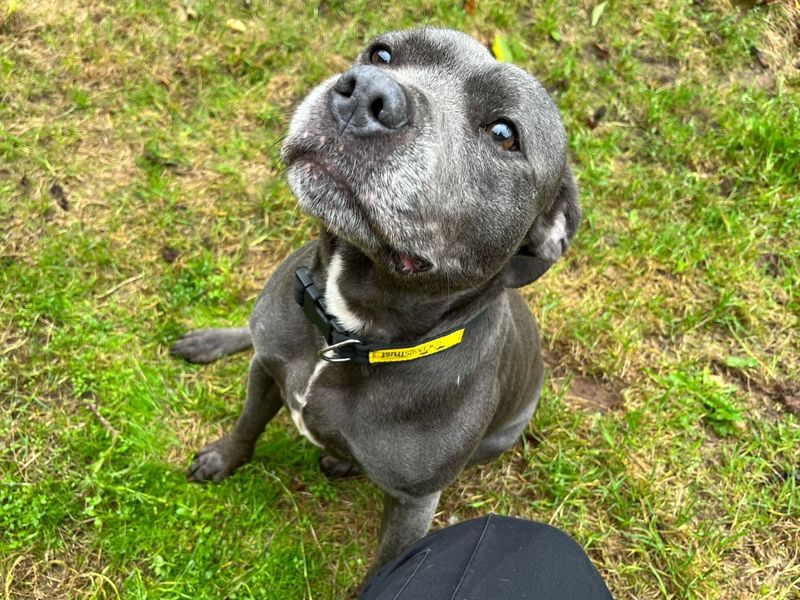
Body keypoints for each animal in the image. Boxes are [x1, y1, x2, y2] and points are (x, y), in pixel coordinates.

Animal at [172, 28, 580, 580]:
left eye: (503, 133)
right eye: (382, 53)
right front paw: (223, 458)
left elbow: (385, 565)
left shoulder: (413, 504)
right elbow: (247, 423)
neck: (345, 332)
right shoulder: (267, 366)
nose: (366, 92)